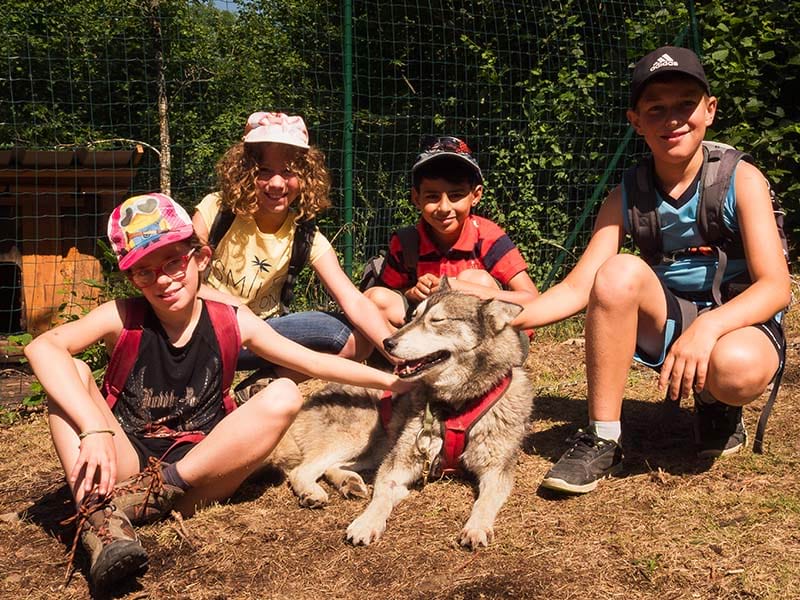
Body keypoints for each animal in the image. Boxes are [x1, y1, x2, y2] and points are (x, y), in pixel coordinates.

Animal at [266, 282, 536, 548]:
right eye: (414, 316)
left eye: (437, 320)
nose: (387, 342)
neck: (456, 405)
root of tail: (309, 400)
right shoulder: (400, 461)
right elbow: (382, 494)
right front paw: (367, 522)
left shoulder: (497, 470)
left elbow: (485, 502)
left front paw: (477, 527)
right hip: (359, 438)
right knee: (302, 470)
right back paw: (313, 492)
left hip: (374, 449)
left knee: (329, 467)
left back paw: (348, 482)